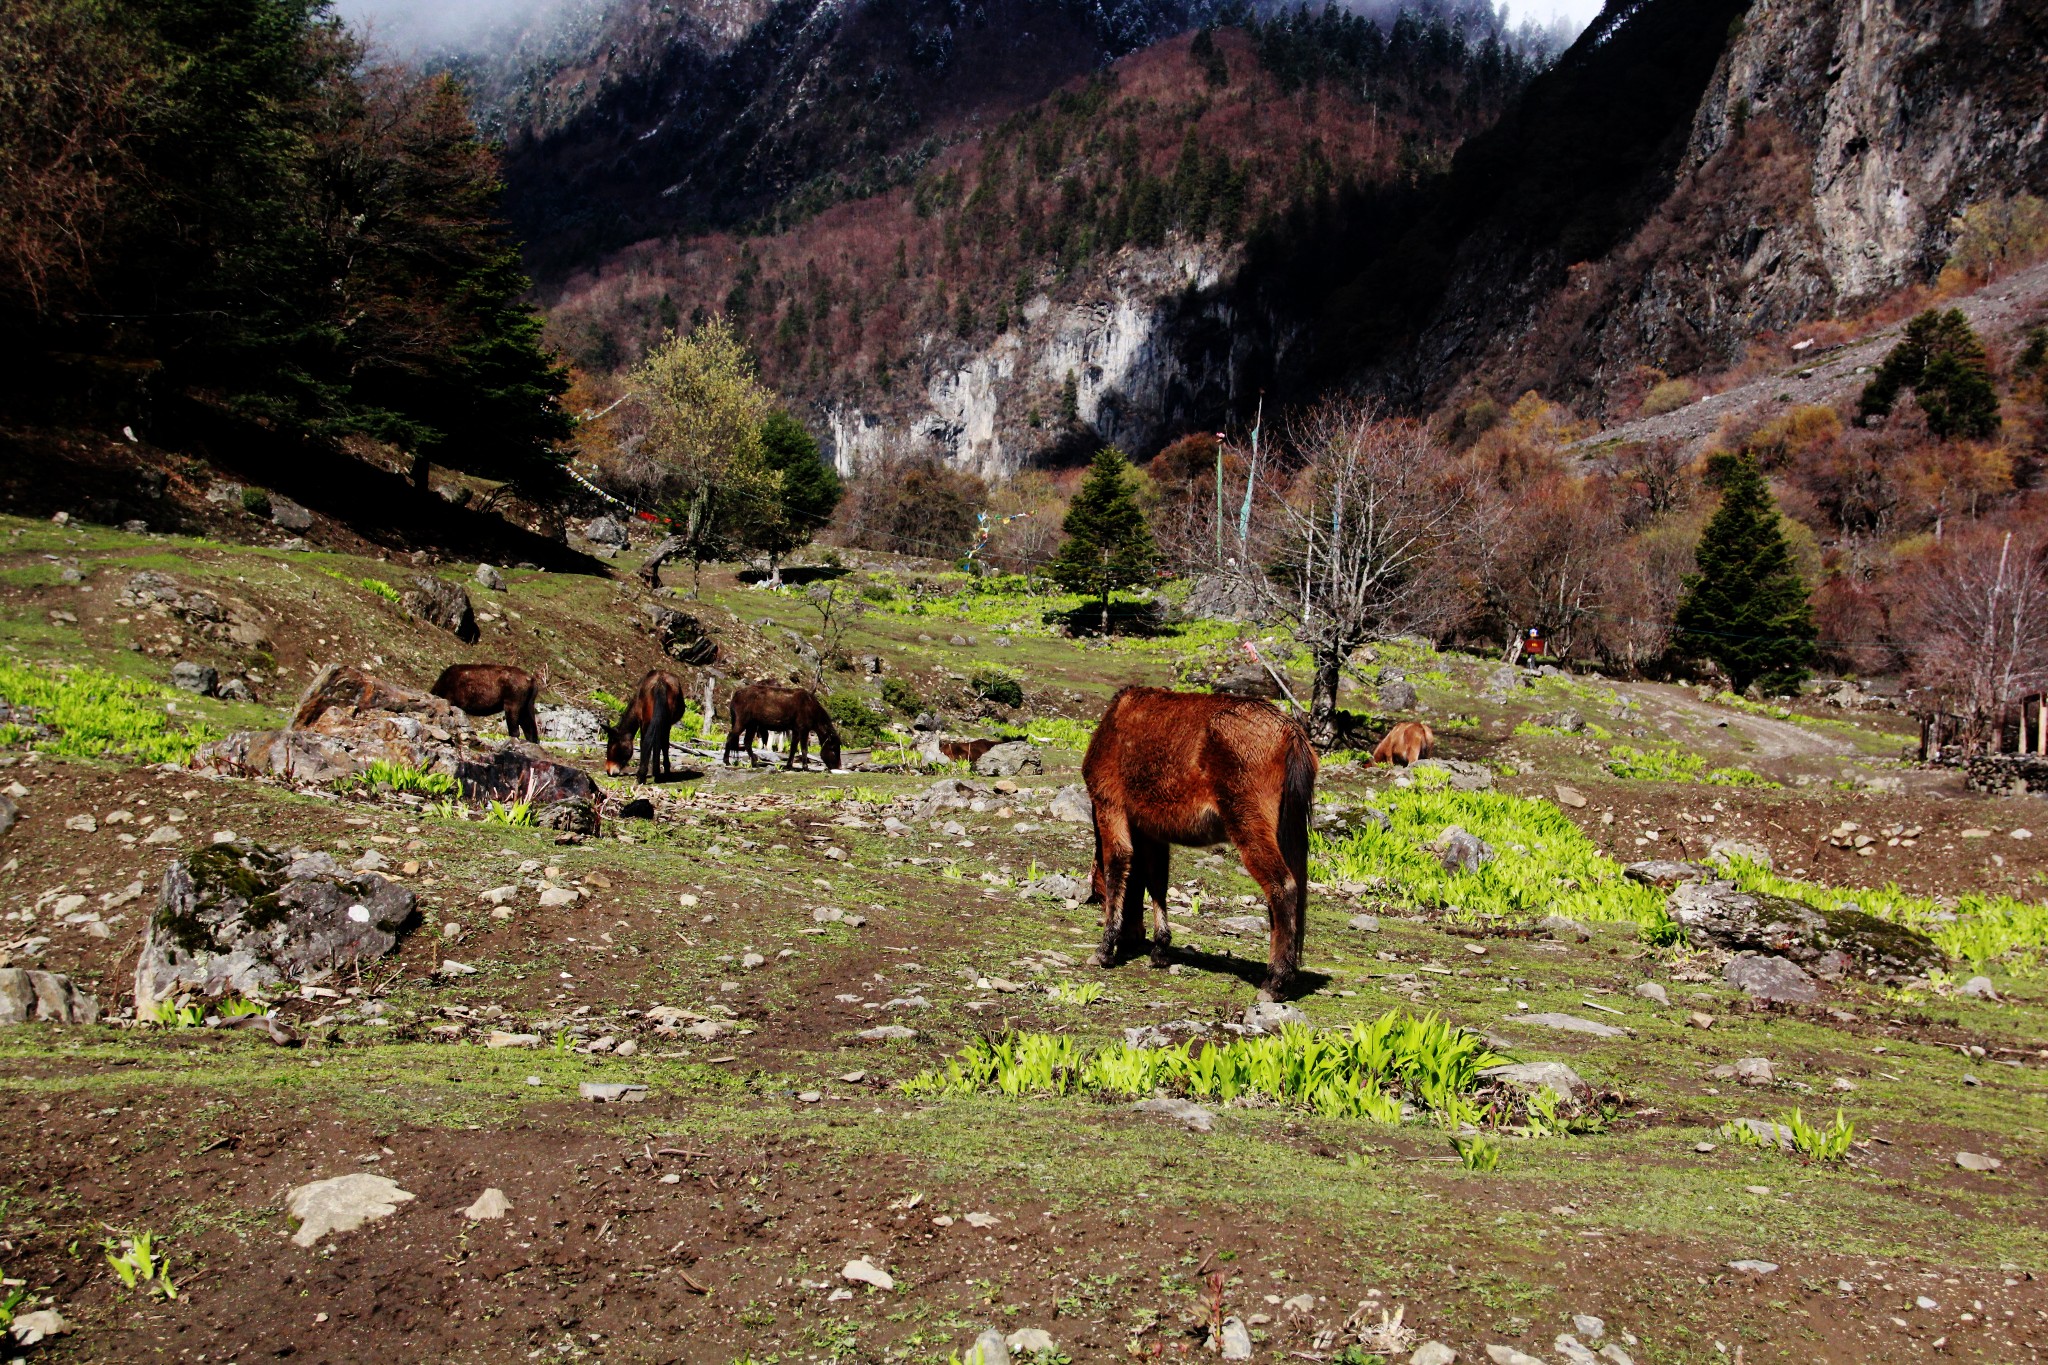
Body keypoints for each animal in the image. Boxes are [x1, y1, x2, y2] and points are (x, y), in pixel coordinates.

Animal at [1081, 687, 1318, 998]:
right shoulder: (1151, 831)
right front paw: (1160, 948)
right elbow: (1155, 881)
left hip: (1249, 826)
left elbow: (1117, 869)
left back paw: (1277, 981)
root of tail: (1290, 731)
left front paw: (1106, 949)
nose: (1132, 938)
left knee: (1282, 887)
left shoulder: (1110, 806)